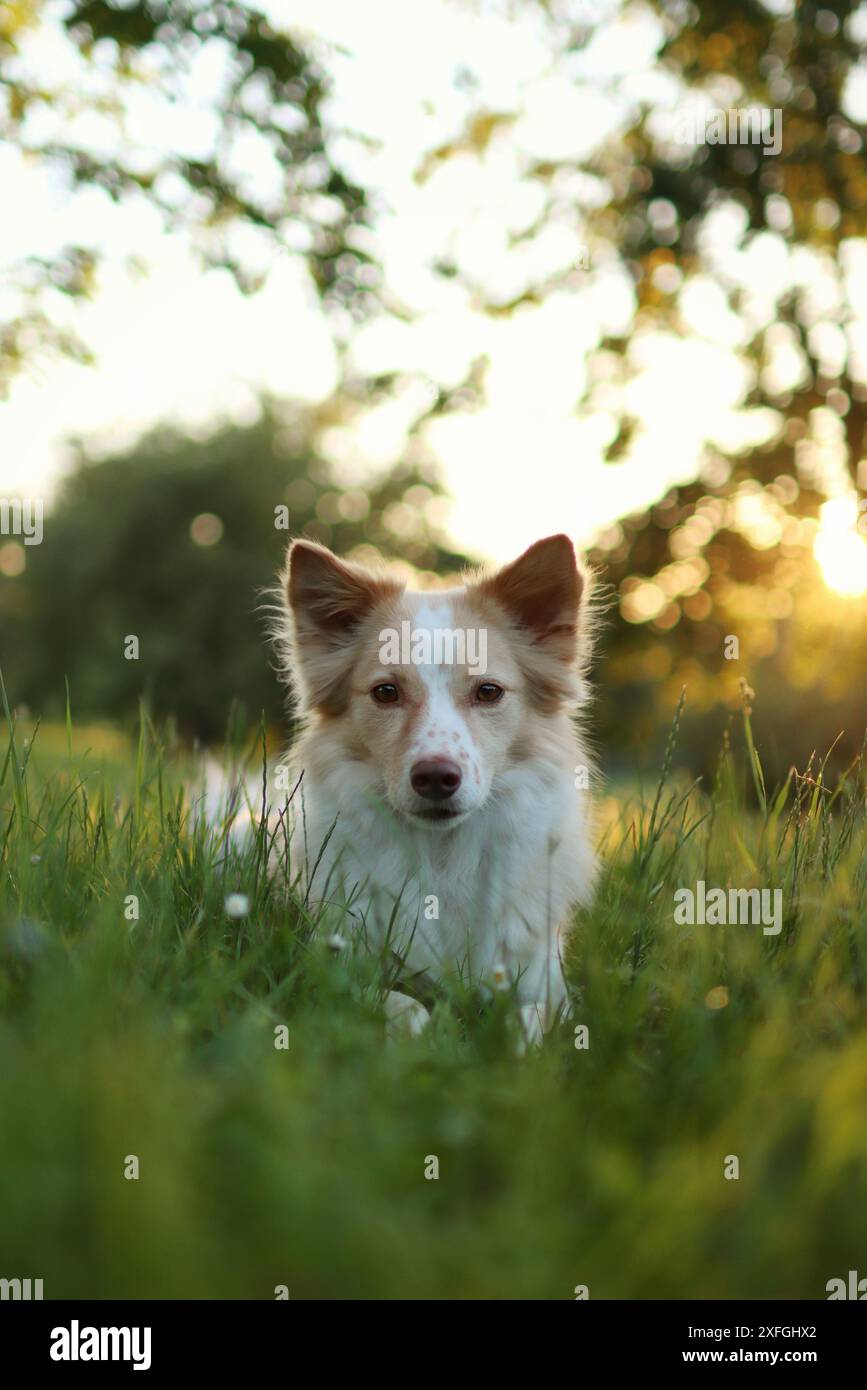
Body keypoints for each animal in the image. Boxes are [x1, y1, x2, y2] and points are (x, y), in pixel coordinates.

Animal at [277, 530, 594, 1045]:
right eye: (386, 692)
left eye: (488, 692)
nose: (436, 777)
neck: (443, 858)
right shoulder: (332, 965)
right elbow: (400, 1004)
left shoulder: (546, 980)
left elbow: (532, 1018)